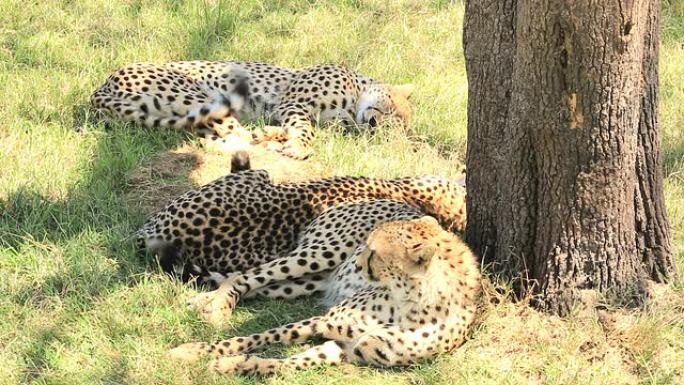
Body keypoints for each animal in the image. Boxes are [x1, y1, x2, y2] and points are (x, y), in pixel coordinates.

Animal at [170, 218, 480, 374]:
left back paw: (207, 303)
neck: (408, 301)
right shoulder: (323, 321)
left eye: (374, 253)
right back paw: (214, 308)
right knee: (245, 275)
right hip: (313, 256)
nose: (356, 264)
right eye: (366, 246)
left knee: (252, 283)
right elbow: (257, 336)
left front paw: (239, 365)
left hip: (304, 282)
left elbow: (293, 362)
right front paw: (193, 350)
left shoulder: (350, 350)